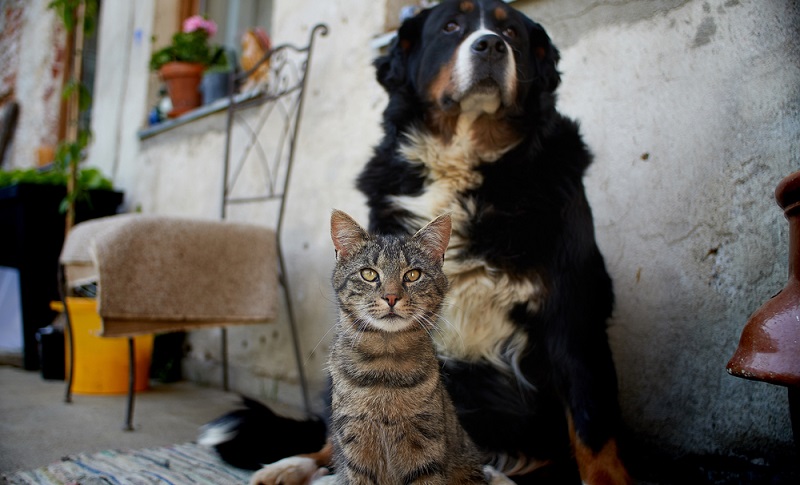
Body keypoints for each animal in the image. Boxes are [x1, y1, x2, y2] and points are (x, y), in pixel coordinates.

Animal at [326, 211, 510, 484]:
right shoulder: (355, 444)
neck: (386, 363)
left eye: (413, 275)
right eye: (369, 274)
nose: (391, 297)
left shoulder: (425, 444)